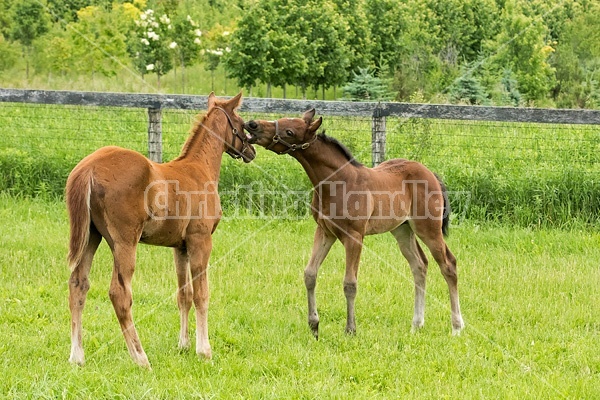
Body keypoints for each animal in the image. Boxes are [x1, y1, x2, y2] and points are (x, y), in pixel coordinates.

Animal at [245, 110, 464, 340]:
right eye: (282, 119)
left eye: (289, 131)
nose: (252, 125)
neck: (337, 182)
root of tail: (432, 175)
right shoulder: (325, 231)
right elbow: (310, 274)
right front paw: (314, 326)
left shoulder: (354, 236)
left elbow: (350, 283)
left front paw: (350, 329)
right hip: (402, 229)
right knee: (419, 265)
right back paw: (416, 324)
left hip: (428, 228)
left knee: (448, 264)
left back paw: (456, 327)